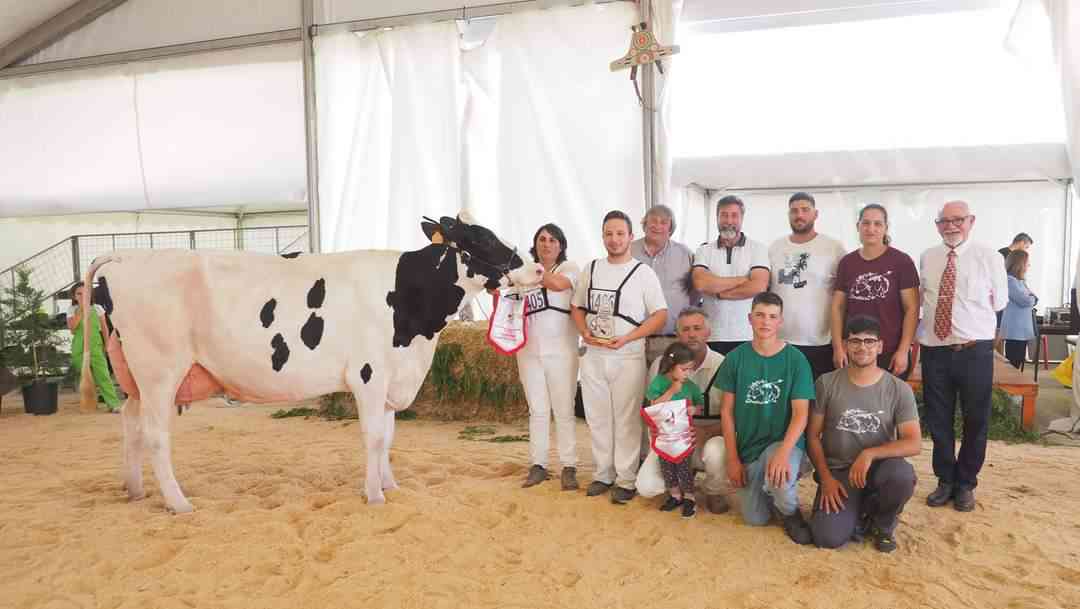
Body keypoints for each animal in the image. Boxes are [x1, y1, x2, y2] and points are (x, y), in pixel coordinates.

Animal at [79, 211, 544, 511]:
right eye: (482, 239)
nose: (538, 269)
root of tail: (127, 256)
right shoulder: (370, 375)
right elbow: (374, 438)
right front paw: (374, 496)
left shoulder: (391, 376)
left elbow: (388, 437)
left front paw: (389, 485)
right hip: (160, 371)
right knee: (155, 434)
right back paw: (179, 503)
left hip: (135, 375)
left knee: (130, 424)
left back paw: (135, 490)